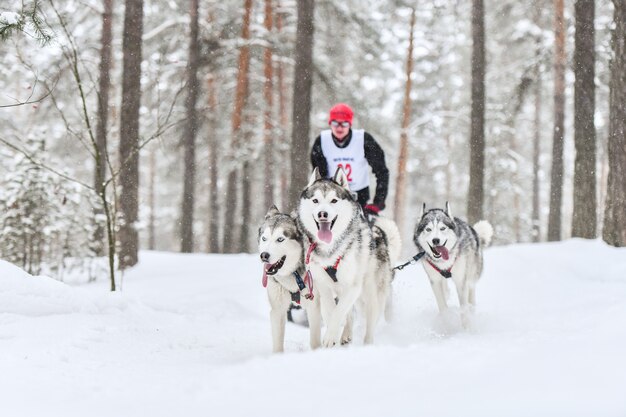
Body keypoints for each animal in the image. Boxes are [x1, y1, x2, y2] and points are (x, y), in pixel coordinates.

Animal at [256, 205, 320, 352]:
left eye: (280, 239)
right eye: (264, 238)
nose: (264, 255)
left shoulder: (314, 308)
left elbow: (315, 342)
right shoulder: (278, 311)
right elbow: (278, 345)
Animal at [298, 166, 400, 344]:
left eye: (333, 201)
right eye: (315, 201)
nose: (322, 214)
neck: (331, 250)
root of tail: (379, 232)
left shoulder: (352, 287)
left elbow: (339, 311)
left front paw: (330, 337)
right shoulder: (323, 286)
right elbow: (332, 311)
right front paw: (335, 334)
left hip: (371, 292)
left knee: (371, 319)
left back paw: (367, 343)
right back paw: (346, 334)